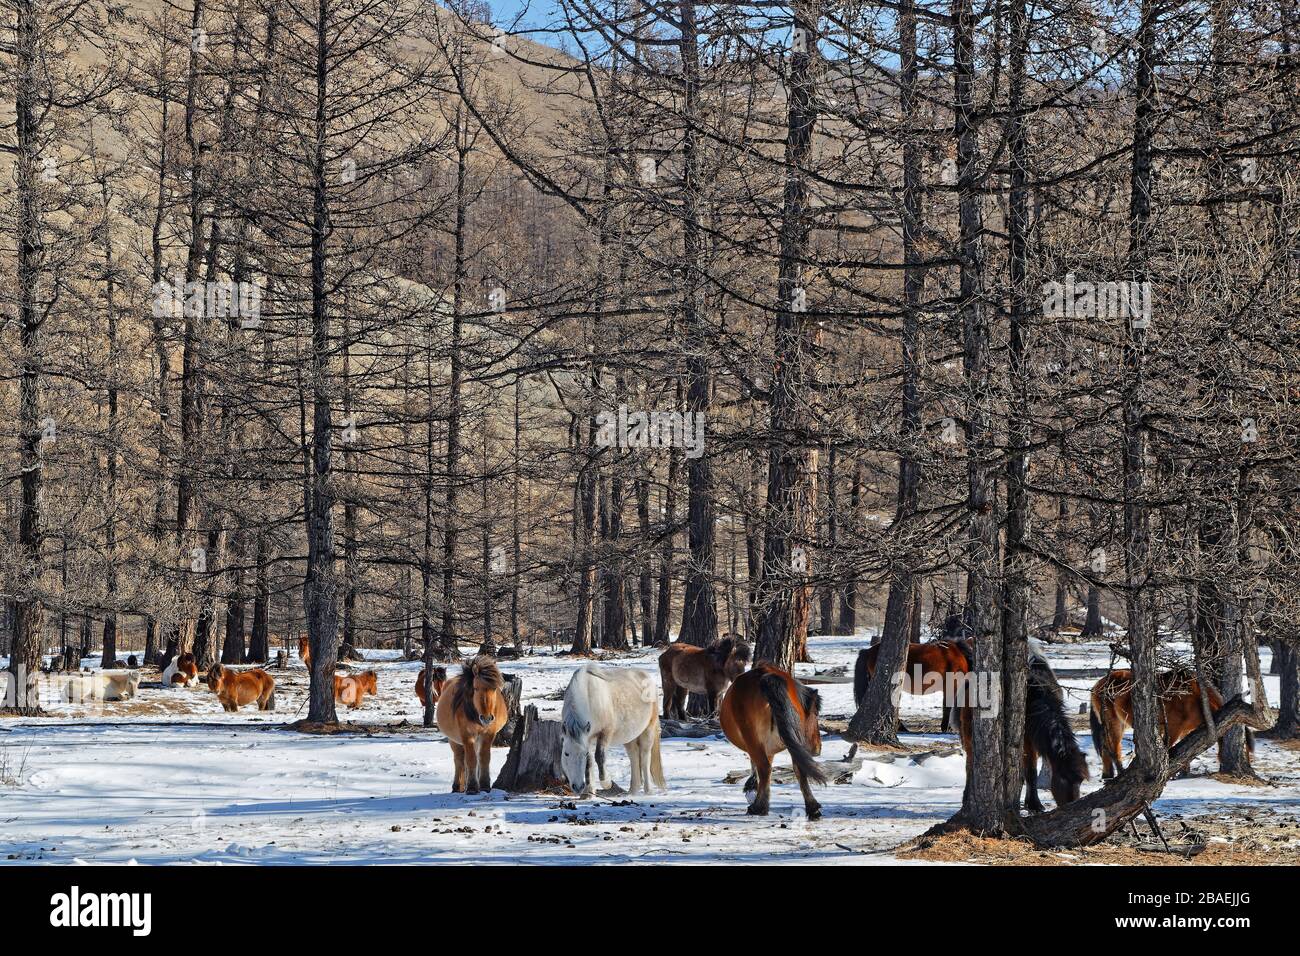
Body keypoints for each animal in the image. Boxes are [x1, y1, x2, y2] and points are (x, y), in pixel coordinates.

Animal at [435, 656, 509, 794]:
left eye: (494, 688)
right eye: (475, 688)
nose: (486, 718)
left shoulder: (488, 734)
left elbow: (484, 758)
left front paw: (484, 785)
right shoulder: (467, 735)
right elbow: (470, 760)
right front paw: (472, 788)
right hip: (454, 740)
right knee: (459, 760)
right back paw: (457, 786)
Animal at [560, 663, 665, 796]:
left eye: (583, 753)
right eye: (566, 753)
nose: (578, 787)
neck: (588, 697)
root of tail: (647, 677)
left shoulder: (605, 733)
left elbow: (599, 756)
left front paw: (606, 783)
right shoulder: (587, 737)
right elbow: (589, 762)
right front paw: (589, 792)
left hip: (648, 730)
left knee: (645, 756)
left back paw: (648, 791)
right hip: (629, 737)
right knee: (634, 755)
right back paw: (632, 791)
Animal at [719, 663, 827, 819]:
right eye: (816, 713)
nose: (817, 749)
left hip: (753, 739)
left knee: (764, 768)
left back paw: (759, 807)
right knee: (799, 769)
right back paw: (812, 807)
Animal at [956, 645, 1089, 812]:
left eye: (1081, 780)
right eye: (1063, 778)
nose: (1072, 805)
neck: (1036, 697)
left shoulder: (1033, 740)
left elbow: (1031, 771)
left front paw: (1033, 803)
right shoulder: (1025, 740)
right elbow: (1030, 771)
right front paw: (1034, 804)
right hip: (968, 733)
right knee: (970, 764)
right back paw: (966, 797)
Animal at [1089, 667, 1247, 779]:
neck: (1197, 698)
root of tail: (1098, 684)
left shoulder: (1186, 730)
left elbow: (1186, 753)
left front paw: (1184, 773)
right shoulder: (1172, 728)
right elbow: (1167, 749)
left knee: (1105, 745)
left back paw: (1107, 775)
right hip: (1114, 723)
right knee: (1112, 747)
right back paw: (1118, 772)